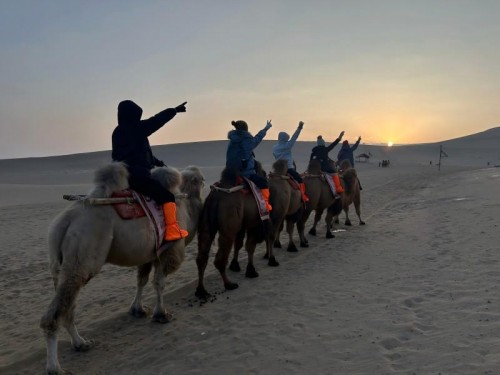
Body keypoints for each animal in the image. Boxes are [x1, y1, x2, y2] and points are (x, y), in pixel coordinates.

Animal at [38, 163, 203, 375]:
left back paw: (81, 343)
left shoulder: (148, 253)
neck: (187, 209)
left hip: (59, 267)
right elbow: (159, 283)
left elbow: (141, 280)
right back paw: (55, 367)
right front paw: (161, 314)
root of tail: (65, 222)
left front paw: (138, 310)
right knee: (56, 313)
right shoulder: (168, 250)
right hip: (83, 255)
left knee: (67, 305)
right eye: (201, 179)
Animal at [194, 166, 278, 302]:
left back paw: (201, 291)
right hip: (229, 226)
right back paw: (229, 284)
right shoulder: (254, 224)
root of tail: (216, 197)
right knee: (220, 258)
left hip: (206, 224)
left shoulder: (242, 226)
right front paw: (252, 270)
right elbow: (250, 246)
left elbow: (239, 245)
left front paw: (235, 266)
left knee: (202, 256)